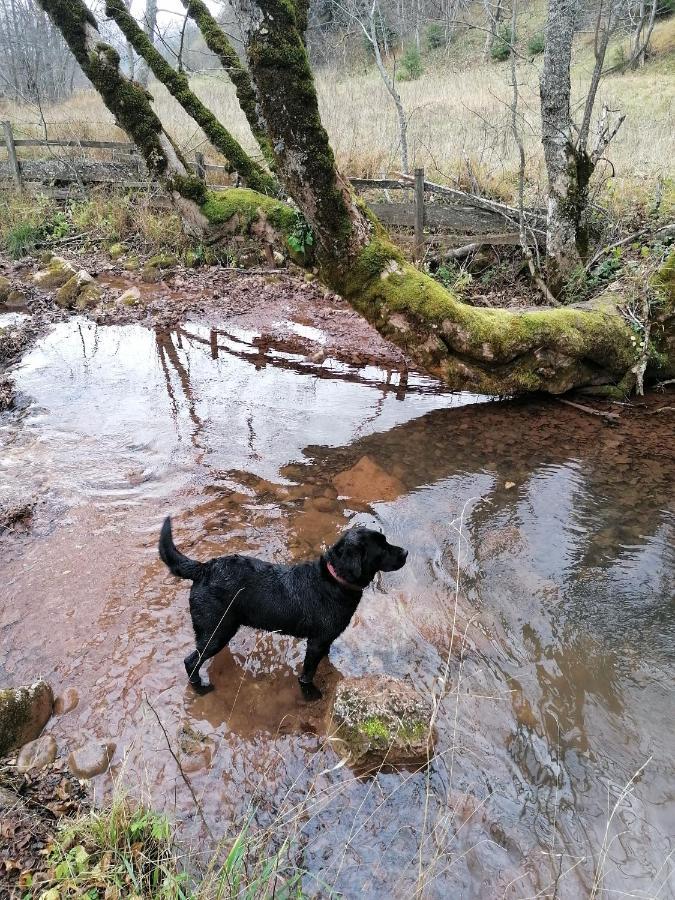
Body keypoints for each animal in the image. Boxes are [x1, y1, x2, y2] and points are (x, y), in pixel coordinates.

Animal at [161, 516, 410, 700]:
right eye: (382, 547)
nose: (406, 552)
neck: (333, 581)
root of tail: (204, 568)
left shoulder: (325, 639)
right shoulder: (316, 641)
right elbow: (308, 672)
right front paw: (310, 693)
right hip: (216, 631)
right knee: (190, 661)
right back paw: (200, 688)